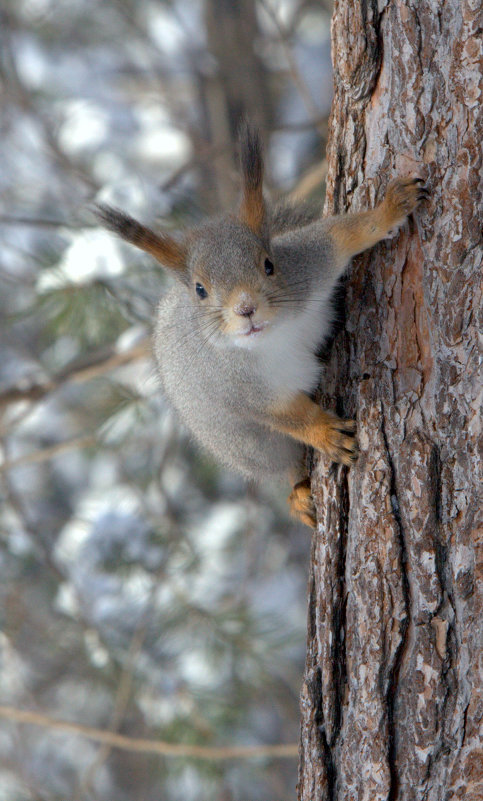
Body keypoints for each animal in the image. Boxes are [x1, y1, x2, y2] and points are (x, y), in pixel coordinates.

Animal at [96, 123, 430, 524]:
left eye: (269, 264)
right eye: (200, 290)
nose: (246, 308)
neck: (274, 337)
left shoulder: (309, 265)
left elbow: (343, 235)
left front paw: (391, 208)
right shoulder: (239, 390)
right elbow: (287, 416)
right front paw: (325, 433)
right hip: (248, 446)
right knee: (282, 462)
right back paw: (298, 491)